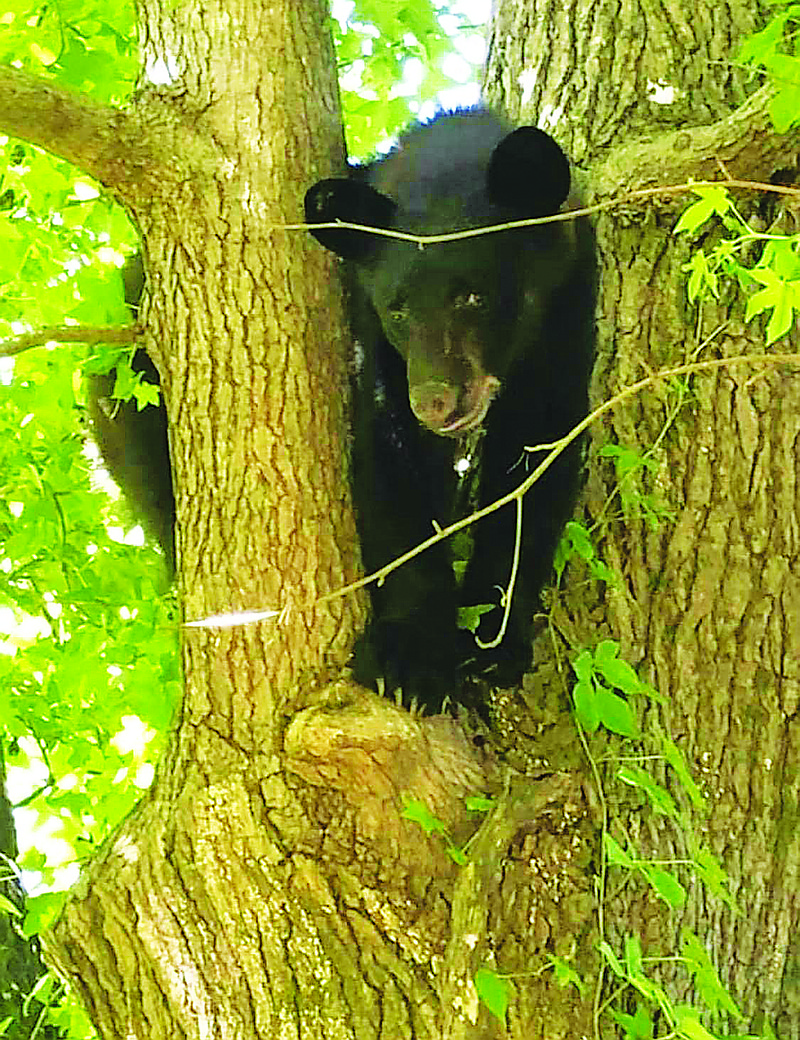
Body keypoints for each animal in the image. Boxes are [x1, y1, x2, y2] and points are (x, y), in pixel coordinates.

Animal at [303, 111, 595, 715]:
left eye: (472, 296)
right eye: (397, 308)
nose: (434, 400)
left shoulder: (565, 320)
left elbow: (534, 471)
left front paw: (492, 640)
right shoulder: (377, 349)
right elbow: (392, 463)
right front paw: (410, 659)